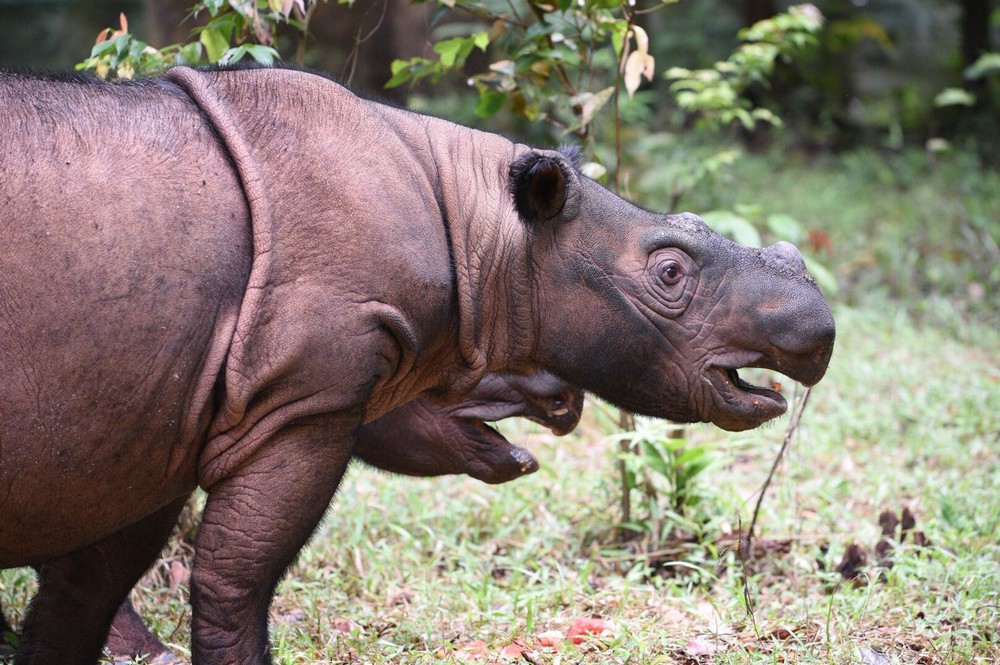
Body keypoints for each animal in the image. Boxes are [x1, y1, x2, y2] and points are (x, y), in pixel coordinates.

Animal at [0, 65, 834, 664]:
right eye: (669, 273)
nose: (817, 330)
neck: (483, 225)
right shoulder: (302, 400)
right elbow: (235, 580)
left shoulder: (143, 426)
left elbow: (79, 598)